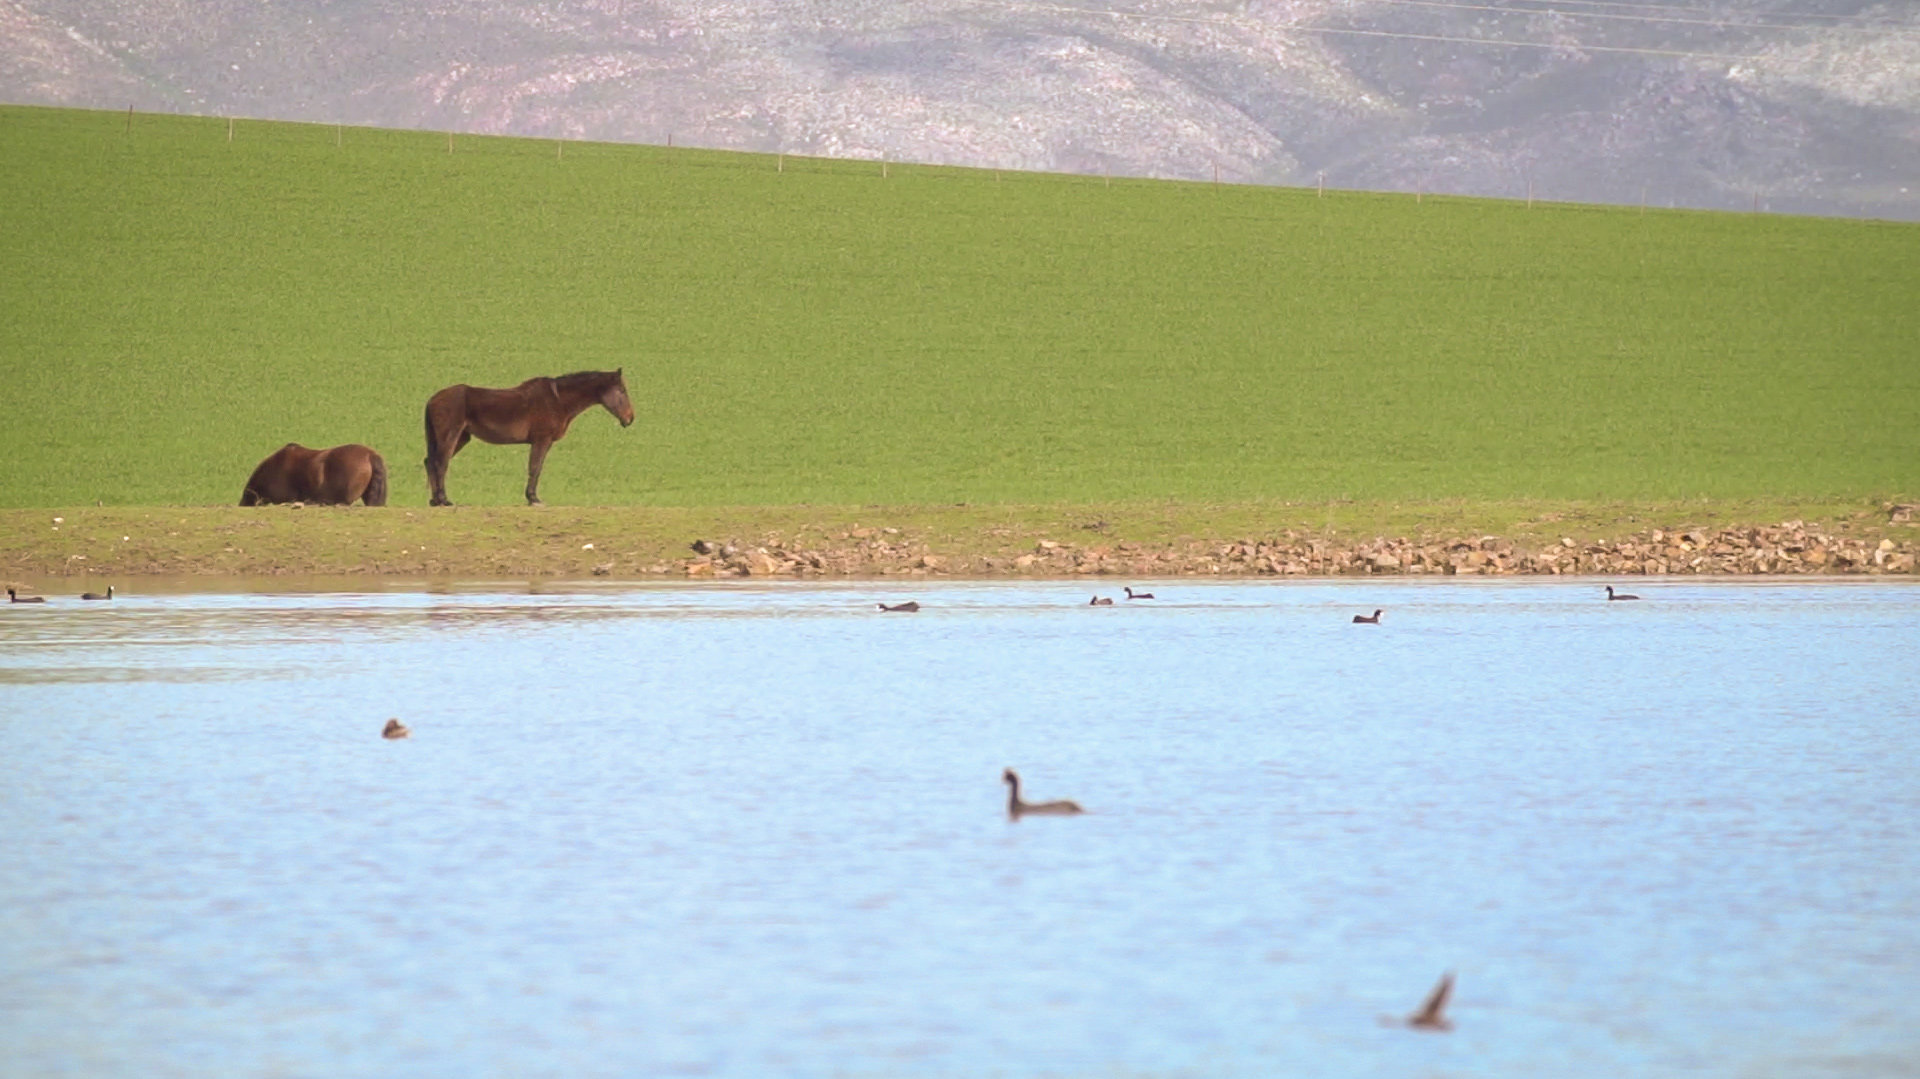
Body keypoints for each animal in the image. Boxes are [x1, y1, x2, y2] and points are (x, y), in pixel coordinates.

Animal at [423, 369, 634, 506]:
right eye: (622, 391)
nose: (630, 418)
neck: (557, 400)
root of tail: (433, 399)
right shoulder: (541, 440)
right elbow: (535, 468)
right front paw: (533, 498)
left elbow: (536, 468)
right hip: (451, 436)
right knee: (440, 463)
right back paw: (443, 499)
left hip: (461, 438)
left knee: (430, 462)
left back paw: (434, 500)